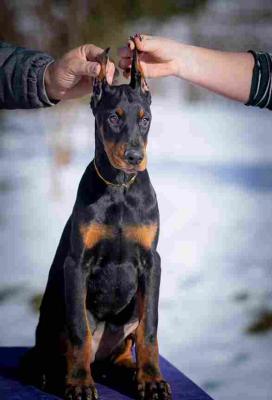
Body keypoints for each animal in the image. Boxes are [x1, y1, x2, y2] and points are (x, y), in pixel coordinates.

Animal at [22, 38, 172, 400]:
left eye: (145, 119)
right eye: (114, 118)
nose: (135, 157)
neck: (119, 187)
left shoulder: (152, 262)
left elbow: (149, 328)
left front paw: (151, 379)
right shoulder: (77, 263)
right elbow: (79, 332)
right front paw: (79, 383)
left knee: (124, 347)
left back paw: (129, 370)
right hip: (55, 316)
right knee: (53, 350)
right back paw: (53, 374)